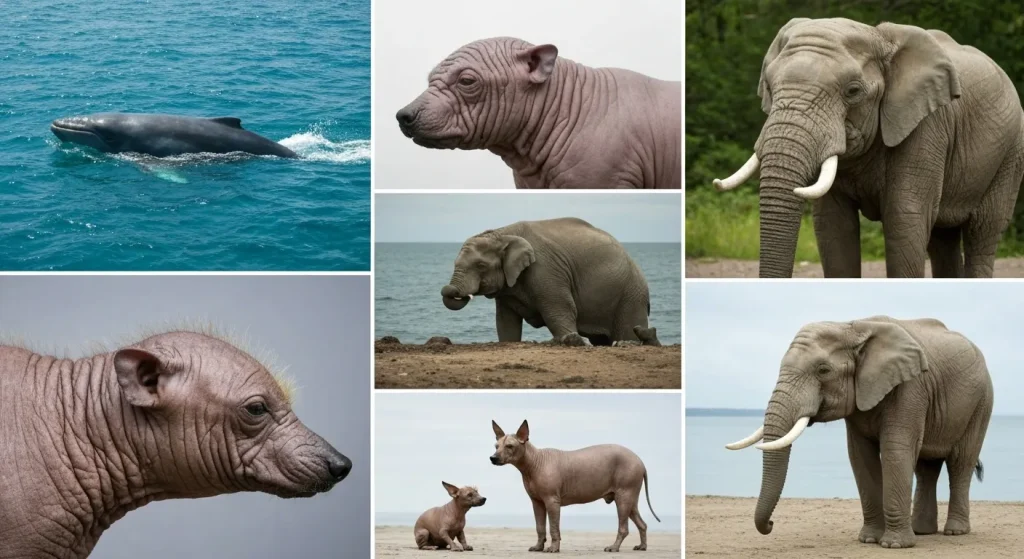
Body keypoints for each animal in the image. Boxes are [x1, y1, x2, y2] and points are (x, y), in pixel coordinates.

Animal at [440, 217, 661, 346]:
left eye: (480, 265)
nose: (451, 290)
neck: (502, 233)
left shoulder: (546, 269)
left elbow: (559, 311)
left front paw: (571, 341)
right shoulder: (509, 285)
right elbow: (505, 320)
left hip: (631, 295)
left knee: (628, 331)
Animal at [713, 18, 1024, 278]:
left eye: (853, 92)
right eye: (768, 86)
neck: (878, 37)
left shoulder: (927, 126)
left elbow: (905, 219)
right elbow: (834, 229)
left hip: (1011, 154)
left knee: (982, 232)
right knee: (942, 239)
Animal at [725, 316, 993, 549]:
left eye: (823, 370)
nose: (771, 523)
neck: (852, 326)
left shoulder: (910, 387)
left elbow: (896, 450)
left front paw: (894, 545)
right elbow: (860, 456)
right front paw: (869, 540)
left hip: (981, 402)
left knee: (961, 462)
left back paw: (955, 531)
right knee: (926, 468)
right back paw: (921, 531)